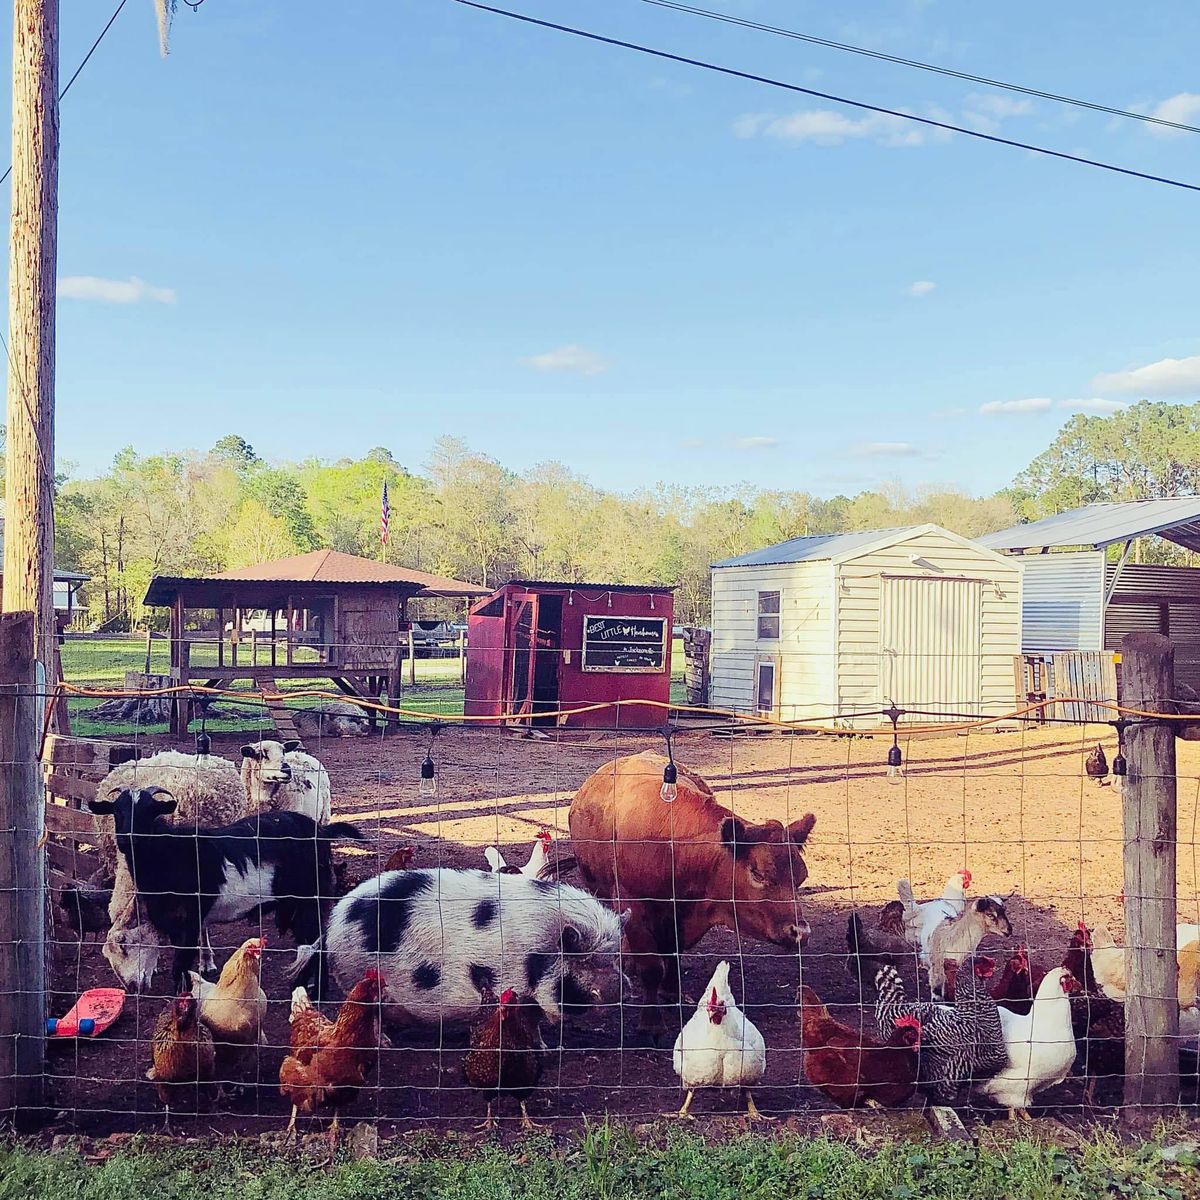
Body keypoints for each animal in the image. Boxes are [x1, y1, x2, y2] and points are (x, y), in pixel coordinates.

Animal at [88, 782, 360, 988]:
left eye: (148, 811)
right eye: (117, 811)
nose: (126, 840)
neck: (170, 853)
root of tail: (322, 830)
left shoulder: (190, 922)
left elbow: (179, 969)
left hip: (310, 898)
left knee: (317, 943)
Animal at [564, 753, 816, 1036]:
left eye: (801, 877)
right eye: (758, 873)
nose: (800, 932)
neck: (673, 846)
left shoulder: (681, 916)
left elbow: (673, 952)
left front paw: (672, 992)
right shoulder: (635, 908)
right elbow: (651, 967)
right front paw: (651, 1024)